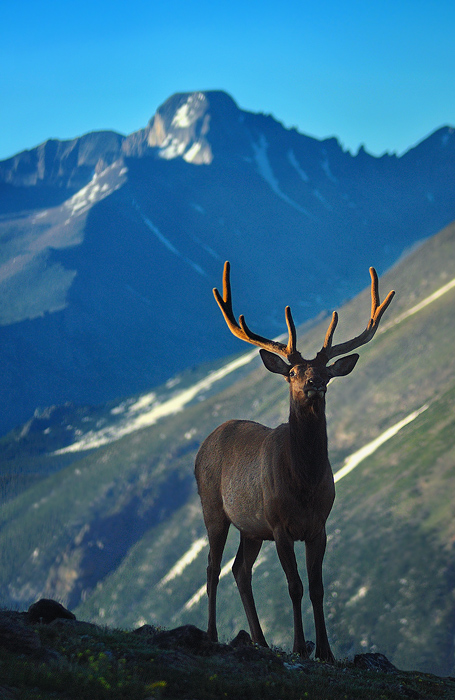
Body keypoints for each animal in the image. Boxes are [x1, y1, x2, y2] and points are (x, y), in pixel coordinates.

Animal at [194, 262, 394, 661]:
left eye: (327, 371)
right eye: (292, 372)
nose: (314, 382)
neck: (304, 483)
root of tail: (203, 445)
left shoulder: (319, 526)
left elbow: (317, 587)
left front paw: (326, 652)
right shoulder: (280, 525)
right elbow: (295, 586)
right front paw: (301, 647)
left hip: (251, 527)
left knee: (240, 570)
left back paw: (259, 639)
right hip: (214, 507)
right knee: (212, 567)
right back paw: (211, 633)